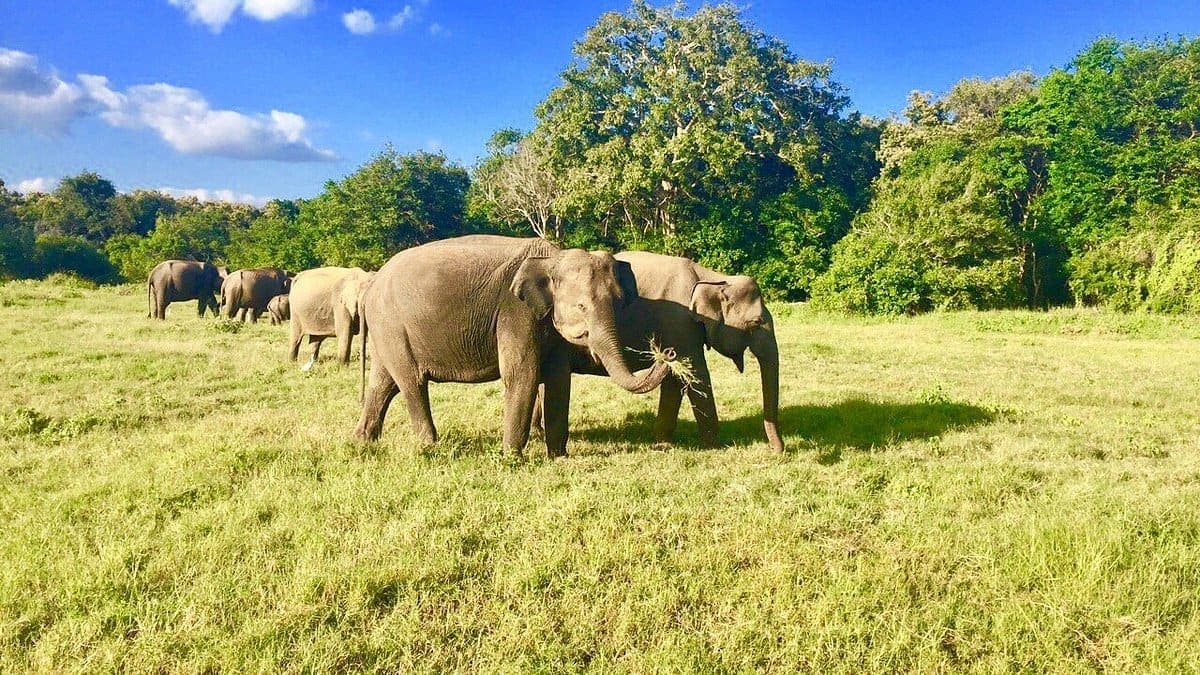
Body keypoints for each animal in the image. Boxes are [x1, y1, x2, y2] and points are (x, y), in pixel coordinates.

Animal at [352, 235, 675, 457]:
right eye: (581, 306)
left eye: (620, 304)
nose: (667, 353)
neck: (552, 258)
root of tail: (371, 284)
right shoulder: (515, 312)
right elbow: (523, 375)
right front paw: (512, 458)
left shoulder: (548, 326)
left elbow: (559, 379)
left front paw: (560, 457)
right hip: (393, 326)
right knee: (411, 382)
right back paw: (430, 447)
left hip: (387, 331)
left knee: (383, 383)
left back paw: (362, 442)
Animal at [532, 252, 783, 453]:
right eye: (756, 322)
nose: (777, 451)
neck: (712, 277)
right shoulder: (680, 322)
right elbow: (696, 374)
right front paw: (715, 445)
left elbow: (675, 379)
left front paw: (663, 443)